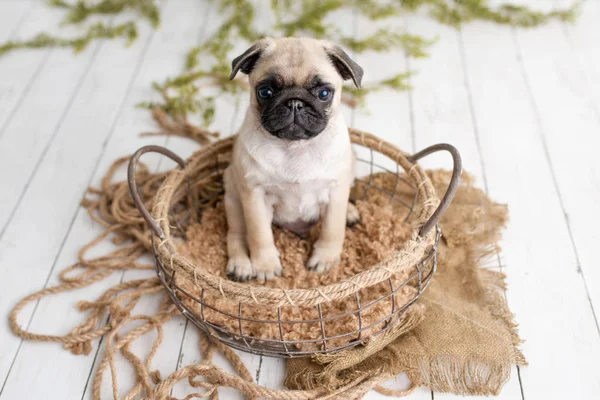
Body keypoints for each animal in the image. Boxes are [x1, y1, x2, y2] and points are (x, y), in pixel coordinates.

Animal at [224, 37, 360, 282]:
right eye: (265, 92)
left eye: (324, 93)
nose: (295, 103)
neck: (295, 147)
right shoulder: (255, 196)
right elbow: (259, 235)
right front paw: (266, 266)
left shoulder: (335, 193)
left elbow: (332, 230)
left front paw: (325, 259)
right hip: (234, 197)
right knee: (236, 233)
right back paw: (241, 265)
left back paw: (351, 212)